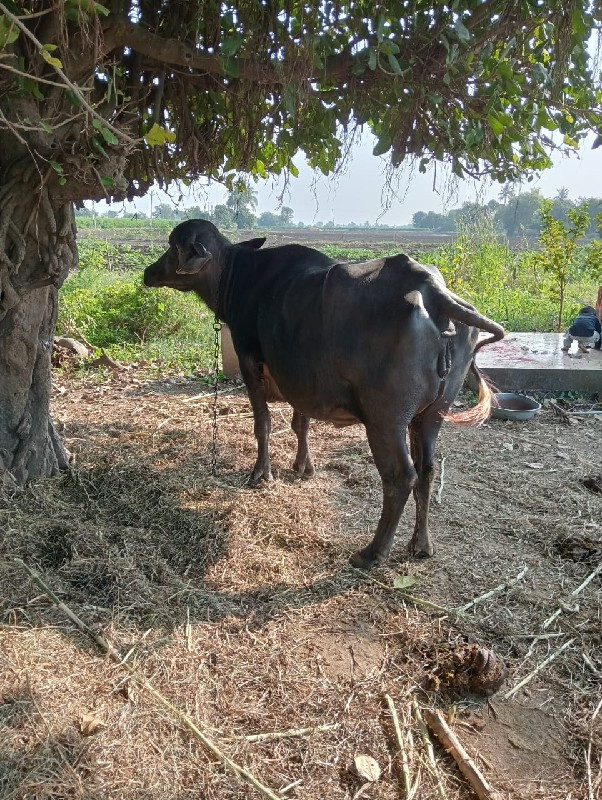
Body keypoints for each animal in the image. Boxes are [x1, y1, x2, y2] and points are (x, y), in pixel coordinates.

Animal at [142, 220, 502, 568]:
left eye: (173, 246)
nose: (148, 272)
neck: (239, 275)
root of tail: (432, 291)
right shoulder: (301, 379)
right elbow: (301, 423)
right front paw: (304, 467)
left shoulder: (249, 360)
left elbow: (263, 424)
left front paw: (261, 474)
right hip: (432, 414)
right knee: (427, 468)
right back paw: (421, 545)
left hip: (385, 419)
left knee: (401, 476)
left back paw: (372, 553)